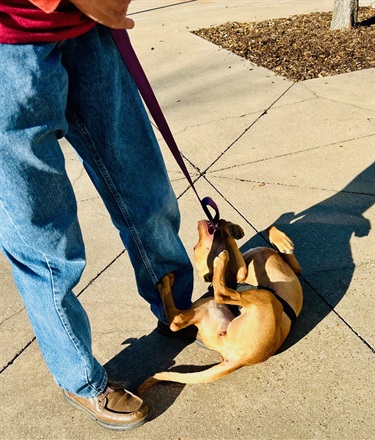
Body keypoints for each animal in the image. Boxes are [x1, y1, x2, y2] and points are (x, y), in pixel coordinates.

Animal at [137, 220, 302, 392]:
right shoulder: (241, 274)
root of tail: (237, 358)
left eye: (194, 247)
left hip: (206, 307)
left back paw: (165, 282)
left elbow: (270, 232)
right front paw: (227, 229)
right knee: (220, 293)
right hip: (265, 297)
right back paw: (219, 260)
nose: (199, 222)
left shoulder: (295, 269)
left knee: (176, 321)